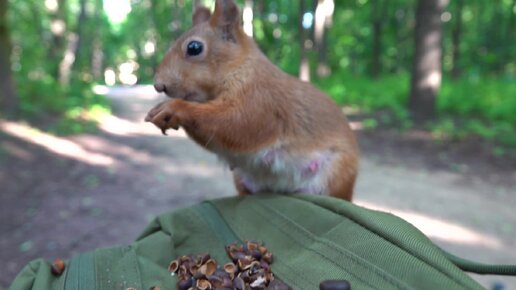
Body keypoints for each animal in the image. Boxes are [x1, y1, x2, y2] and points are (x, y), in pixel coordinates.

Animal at [145, 0, 358, 201]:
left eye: (194, 47)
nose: (159, 85)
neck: (240, 68)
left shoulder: (261, 101)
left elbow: (237, 124)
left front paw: (174, 108)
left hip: (336, 175)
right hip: (242, 179)